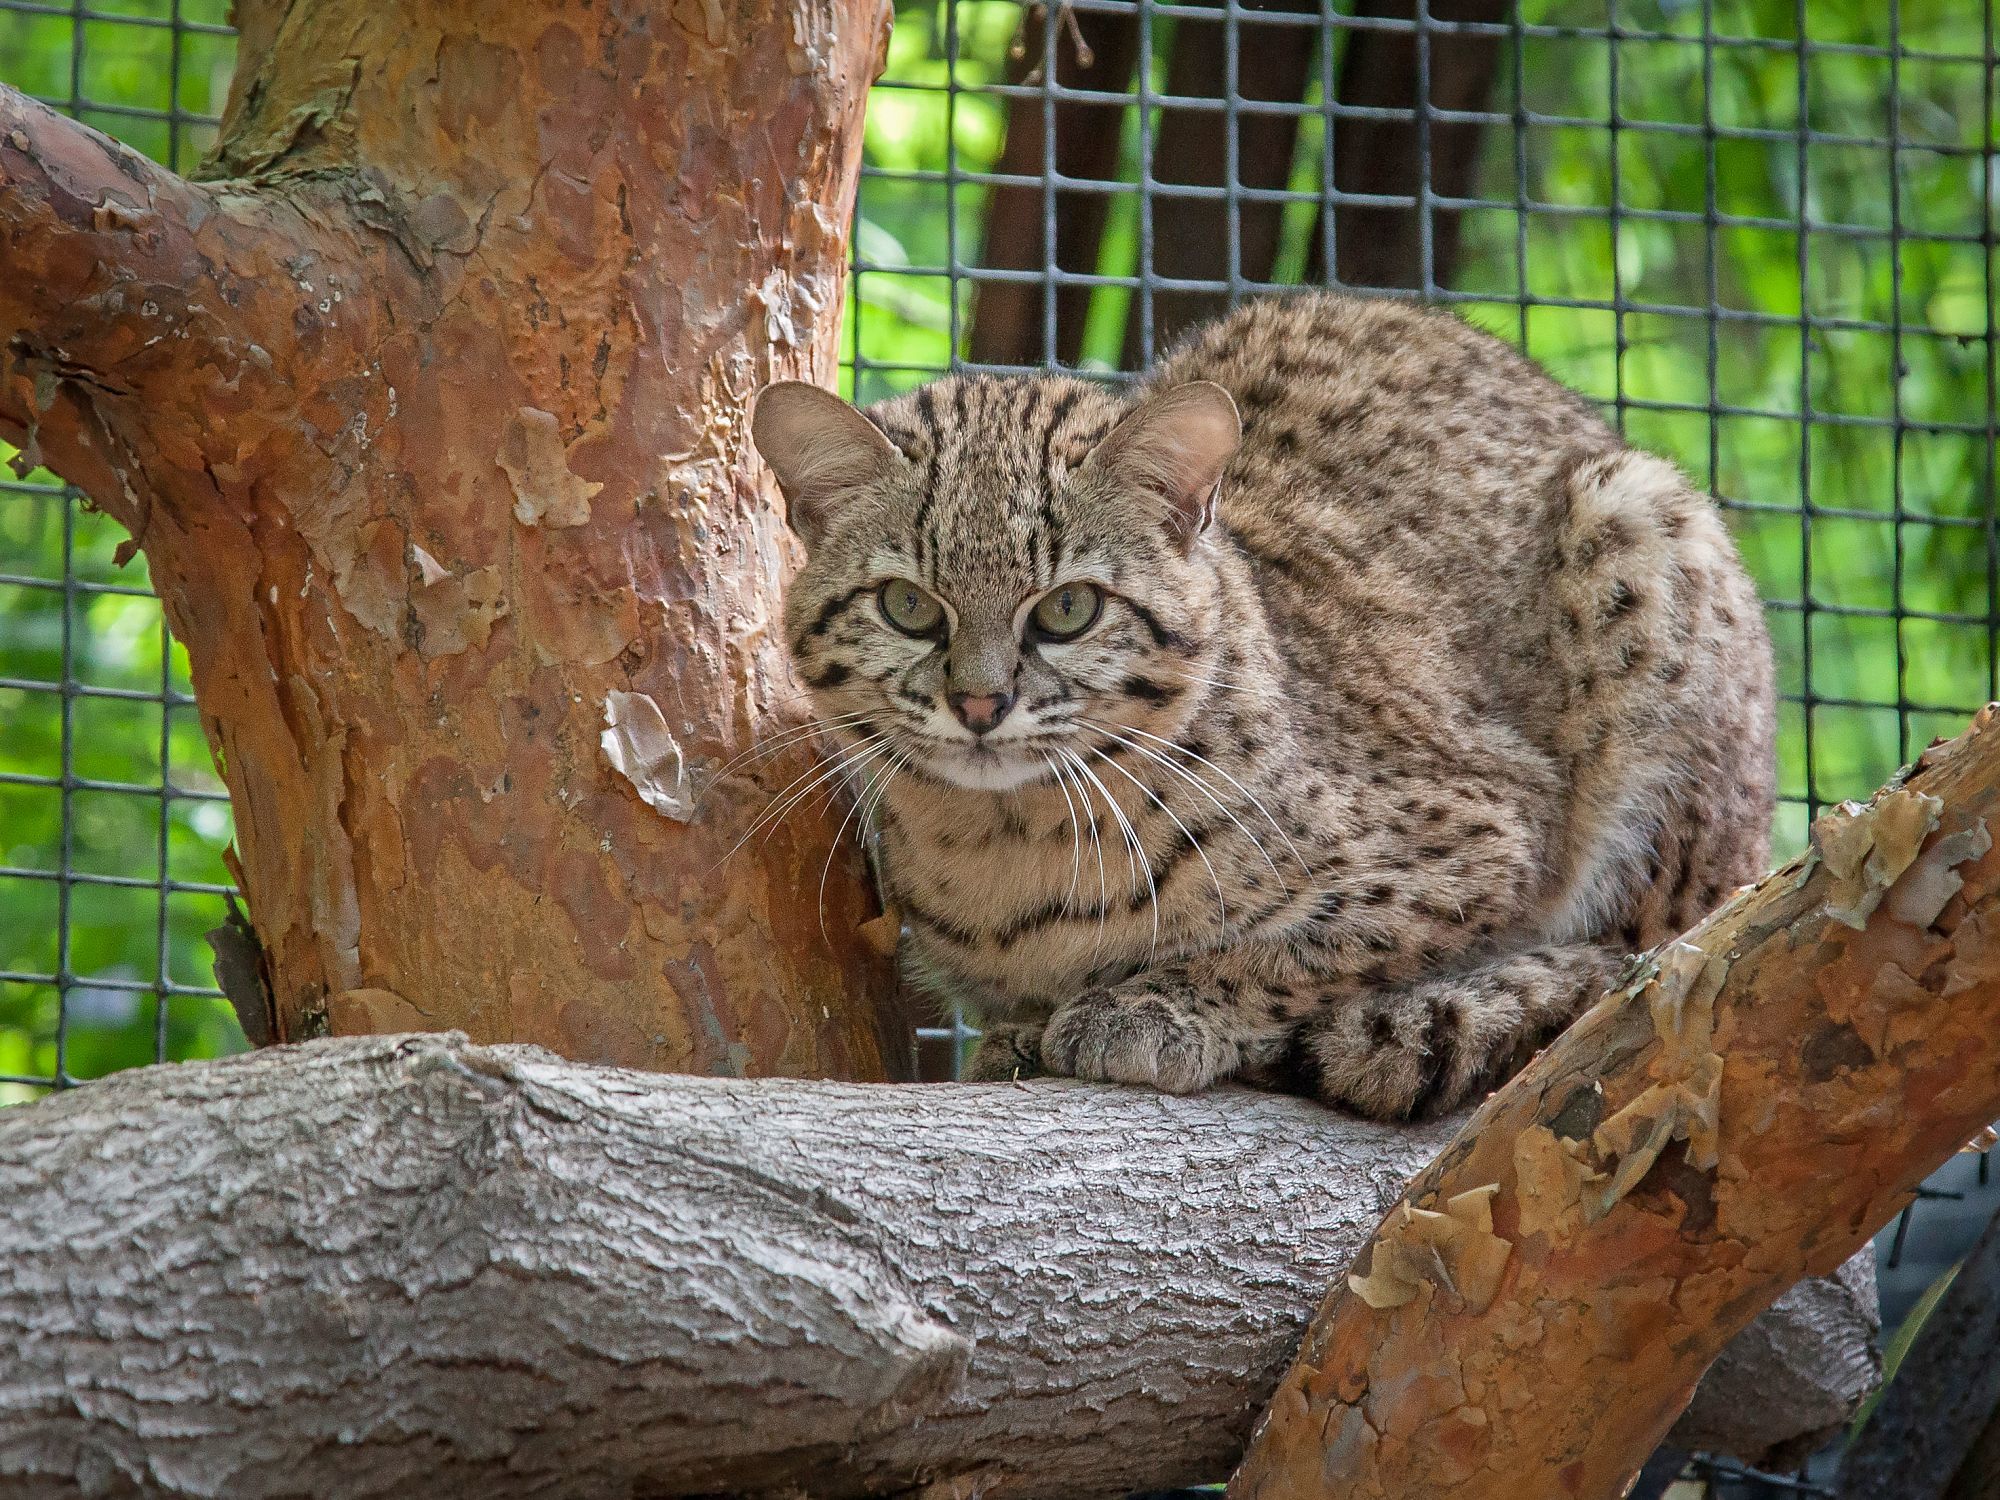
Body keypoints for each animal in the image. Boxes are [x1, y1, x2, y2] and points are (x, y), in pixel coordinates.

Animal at [748, 290, 1768, 1120]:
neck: (1001, 841)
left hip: (1643, 530)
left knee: (1645, 945)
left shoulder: (1490, 832)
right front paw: (1039, 1029)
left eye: (1069, 609)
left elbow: (1307, 948)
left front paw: (1153, 1006)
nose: (980, 703)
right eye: (908, 606)